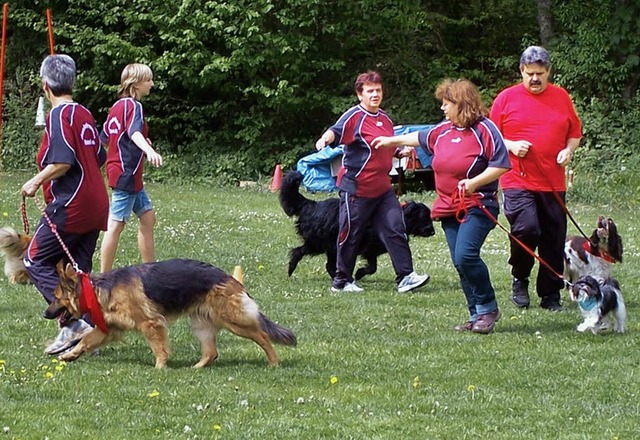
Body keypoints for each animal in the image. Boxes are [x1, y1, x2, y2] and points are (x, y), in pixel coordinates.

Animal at [47, 258, 298, 368]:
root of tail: (232, 279)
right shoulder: (109, 329)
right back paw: (195, 368)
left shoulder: (151, 324)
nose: (45, 313)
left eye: (56, 298)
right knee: (211, 352)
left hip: (233, 321)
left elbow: (159, 348)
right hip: (201, 325)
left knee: (262, 336)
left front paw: (160, 367)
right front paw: (70, 355)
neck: (97, 289)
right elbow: (85, 340)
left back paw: (274, 362)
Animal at [280, 171, 436, 278]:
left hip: (322, 245)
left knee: (301, 252)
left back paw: (292, 269)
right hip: (323, 243)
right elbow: (372, 267)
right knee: (311, 257)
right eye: (425, 218)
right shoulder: (370, 248)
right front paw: (359, 273)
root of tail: (311, 205)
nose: (433, 232)